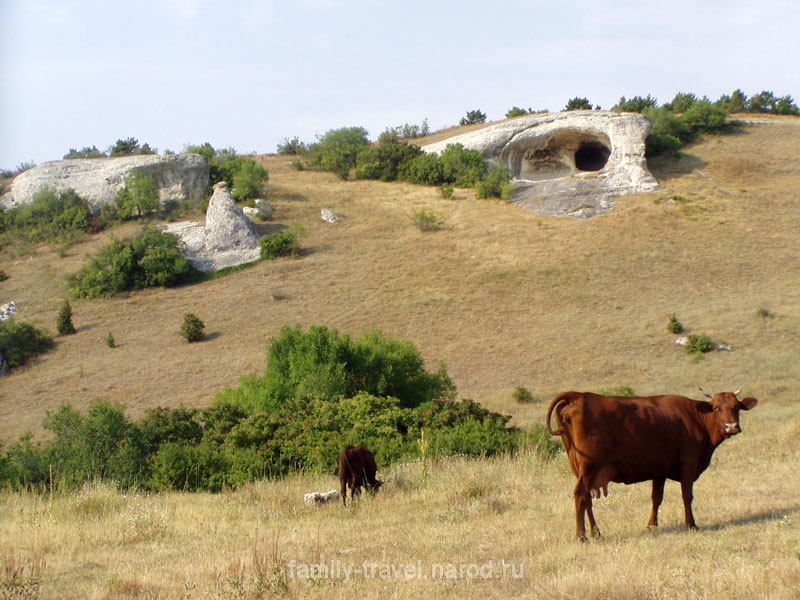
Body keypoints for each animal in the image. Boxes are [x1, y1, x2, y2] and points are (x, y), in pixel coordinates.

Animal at [548, 386, 760, 540]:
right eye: (716, 408)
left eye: (736, 407)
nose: (731, 427)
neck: (695, 417)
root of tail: (578, 396)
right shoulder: (689, 464)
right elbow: (687, 496)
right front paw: (691, 524)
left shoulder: (660, 471)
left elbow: (656, 498)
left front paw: (652, 525)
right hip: (589, 467)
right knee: (580, 495)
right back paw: (581, 536)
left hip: (582, 470)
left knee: (587, 500)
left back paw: (596, 532)